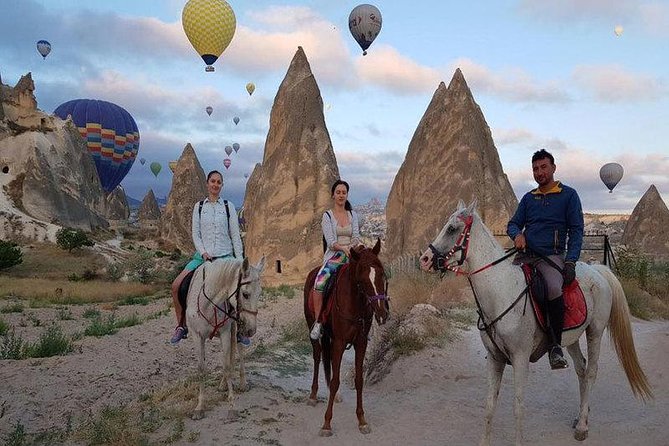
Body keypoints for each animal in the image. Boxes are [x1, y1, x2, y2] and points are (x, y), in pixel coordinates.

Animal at [185, 256, 266, 420]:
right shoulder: (197, 336)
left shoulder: (225, 332)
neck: (208, 303)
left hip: (236, 328)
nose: (251, 330)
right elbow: (201, 369)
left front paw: (232, 407)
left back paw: (242, 383)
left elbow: (227, 366)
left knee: (237, 351)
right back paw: (223, 384)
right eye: (245, 294)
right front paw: (199, 407)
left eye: (260, 293)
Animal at [302, 239, 388, 438]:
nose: (382, 314)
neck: (355, 304)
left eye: (381, 274)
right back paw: (313, 396)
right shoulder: (340, 343)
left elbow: (359, 380)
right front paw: (327, 423)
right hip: (313, 327)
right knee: (317, 357)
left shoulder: (360, 343)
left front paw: (362, 421)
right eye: (362, 280)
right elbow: (334, 381)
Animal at [420, 201, 648, 446]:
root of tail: (598, 270)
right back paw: (581, 415)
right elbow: (489, 406)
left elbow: (518, 407)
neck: (502, 291)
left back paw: (583, 427)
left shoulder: (520, 359)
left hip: (594, 331)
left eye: (452, 228)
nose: (424, 259)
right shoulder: (494, 358)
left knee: (592, 372)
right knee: (581, 369)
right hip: (570, 338)